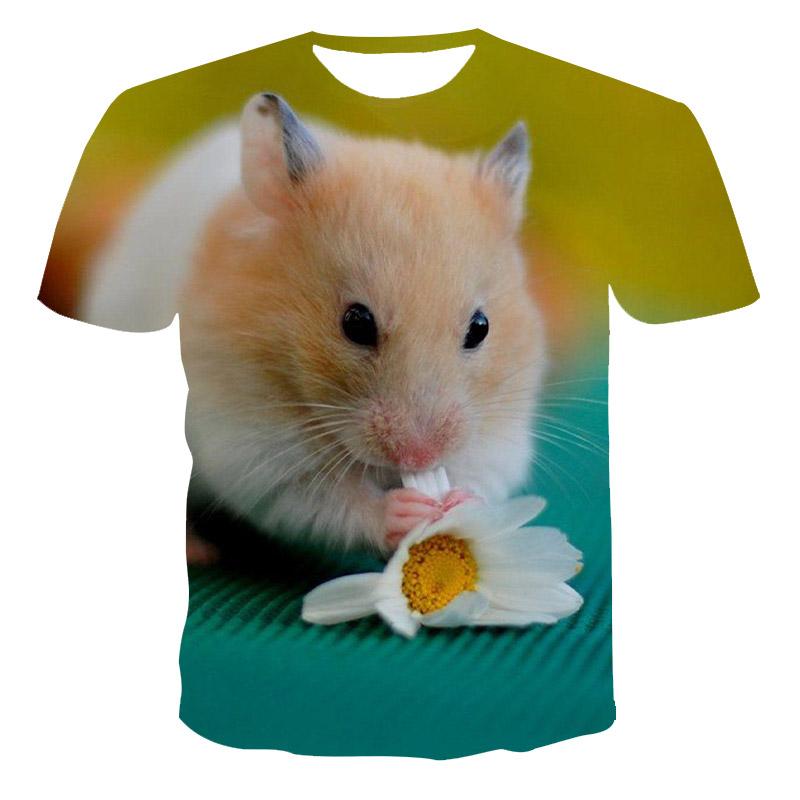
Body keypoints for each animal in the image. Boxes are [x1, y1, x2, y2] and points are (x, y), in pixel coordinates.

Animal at [84, 93, 546, 555]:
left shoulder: (500, 431)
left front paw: (457, 503)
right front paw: (405, 511)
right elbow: (330, 502)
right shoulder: (255, 452)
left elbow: (482, 476)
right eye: (355, 323)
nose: (421, 458)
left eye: (480, 327)